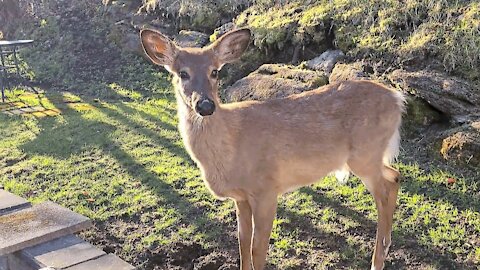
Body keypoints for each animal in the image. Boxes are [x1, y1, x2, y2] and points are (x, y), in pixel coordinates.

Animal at [140, 28, 404, 270]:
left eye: (214, 71)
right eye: (182, 74)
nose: (205, 105)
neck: (230, 148)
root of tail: (398, 98)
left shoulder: (266, 188)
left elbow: (257, 248)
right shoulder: (241, 197)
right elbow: (242, 242)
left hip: (365, 153)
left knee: (383, 192)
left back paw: (378, 258)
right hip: (369, 156)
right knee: (394, 176)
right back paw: (386, 246)